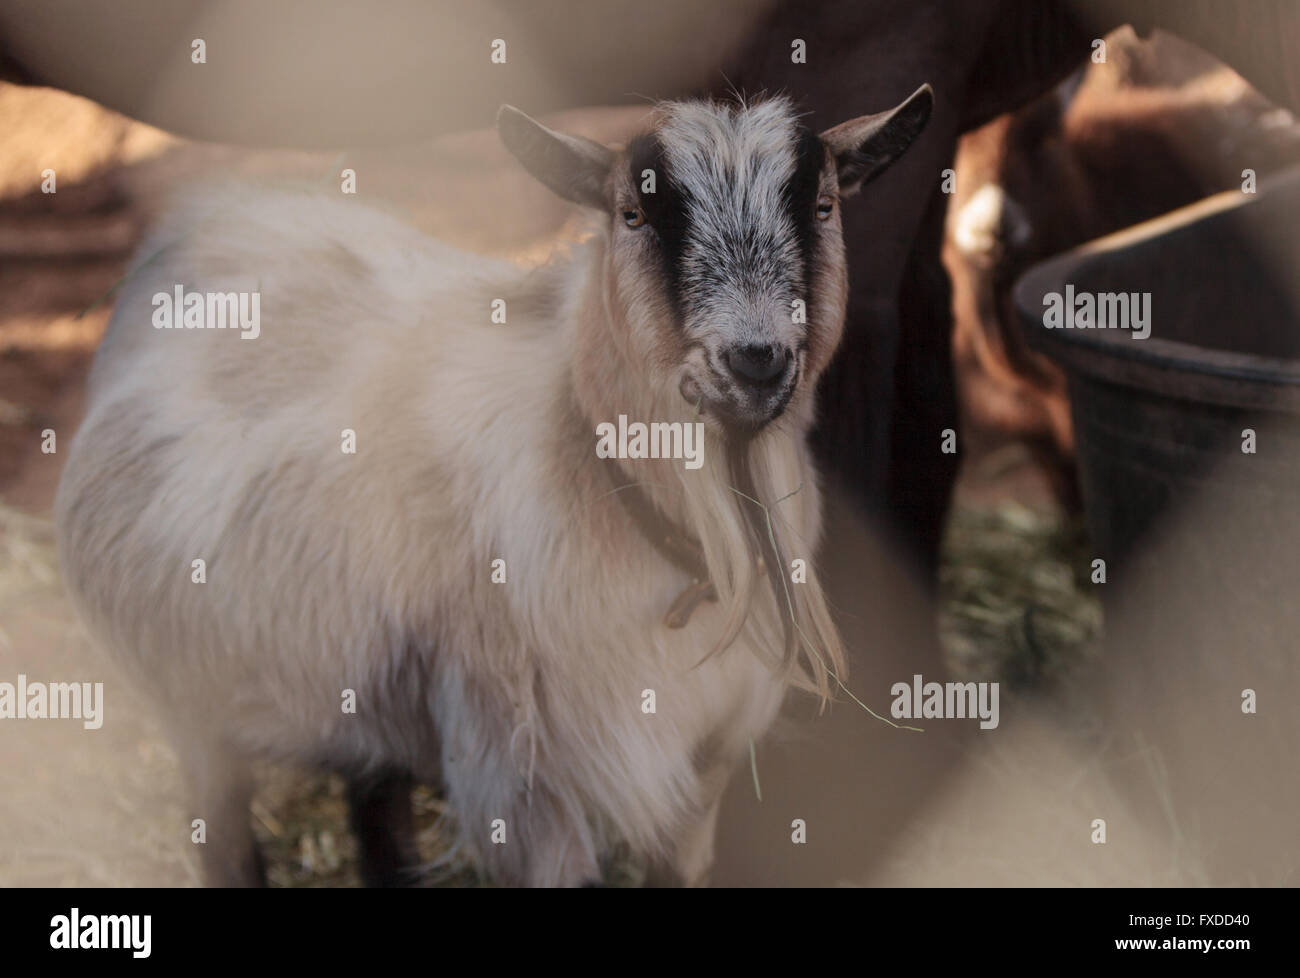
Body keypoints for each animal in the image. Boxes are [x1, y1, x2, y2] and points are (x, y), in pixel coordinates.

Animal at [58, 89, 935, 884]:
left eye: (822, 204)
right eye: (632, 214)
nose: (753, 359)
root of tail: (217, 212)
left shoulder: (707, 761)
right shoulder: (515, 772)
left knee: (376, 810)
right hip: (190, 699)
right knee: (223, 832)